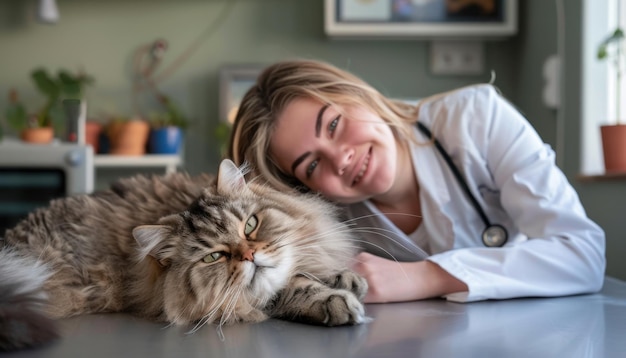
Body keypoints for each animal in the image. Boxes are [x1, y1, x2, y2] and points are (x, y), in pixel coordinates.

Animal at [0, 161, 366, 352]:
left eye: (250, 225)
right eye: (213, 257)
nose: (250, 255)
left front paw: (345, 278)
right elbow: (289, 287)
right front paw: (334, 299)